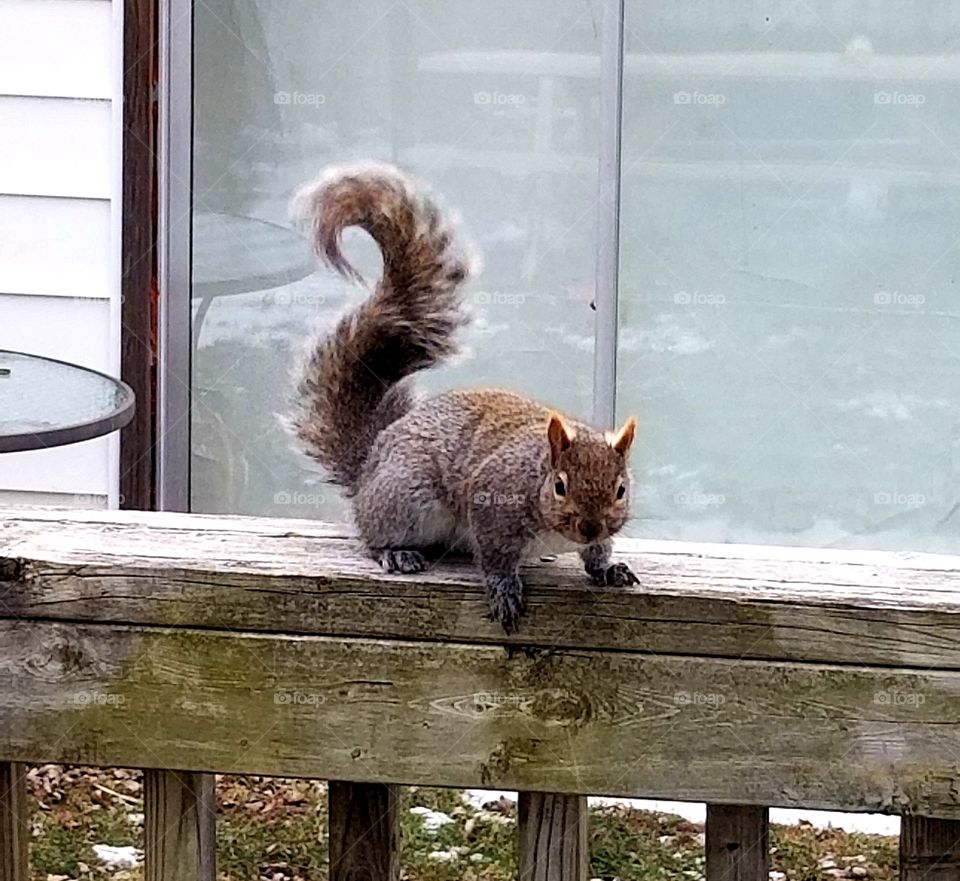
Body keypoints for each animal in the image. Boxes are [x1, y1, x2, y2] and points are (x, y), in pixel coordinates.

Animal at [291, 162, 639, 633]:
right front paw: (504, 589)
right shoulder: (491, 503)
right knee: (372, 534)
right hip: (406, 497)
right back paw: (395, 552)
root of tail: (368, 468)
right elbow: (493, 557)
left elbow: (599, 555)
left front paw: (607, 568)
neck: (536, 475)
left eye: (621, 489)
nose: (589, 526)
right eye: (560, 485)